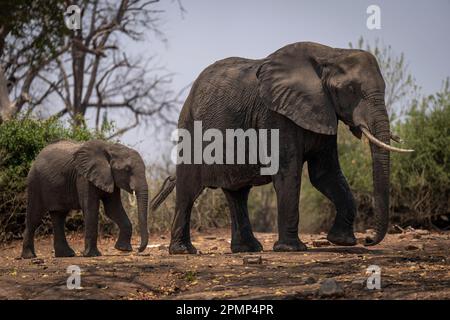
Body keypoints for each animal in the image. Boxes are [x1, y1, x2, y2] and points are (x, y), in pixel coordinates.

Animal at [21, 140, 149, 258]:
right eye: (127, 169)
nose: (138, 250)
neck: (110, 147)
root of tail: (37, 157)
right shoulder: (83, 177)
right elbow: (91, 208)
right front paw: (93, 255)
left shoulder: (110, 177)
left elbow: (113, 209)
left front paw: (123, 249)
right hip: (35, 182)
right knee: (34, 217)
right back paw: (29, 256)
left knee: (59, 216)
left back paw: (66, 255)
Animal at [151, 41, 412, 254]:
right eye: (350, 89)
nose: (368, 239)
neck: (331, 53)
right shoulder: (276, 115)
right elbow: (288, 172)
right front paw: (292, 249)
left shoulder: (323, 111)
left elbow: (325, 174)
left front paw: (342, 241)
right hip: (190, 127)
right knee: (189, 188)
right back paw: (184, 251)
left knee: (237, 192)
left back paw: (248, 250)